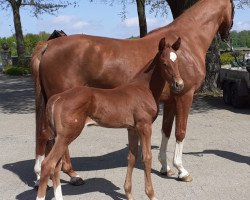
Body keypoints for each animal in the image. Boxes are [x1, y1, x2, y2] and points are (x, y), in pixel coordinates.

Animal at [36, 37, 183, 200]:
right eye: (164, 63)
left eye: (177, 61)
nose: (179, 84)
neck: (143, 88)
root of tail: (57, 98)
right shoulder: (145, 126)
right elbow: (147, 157)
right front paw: (151, 194)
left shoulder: (132, 129)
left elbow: (132, 157)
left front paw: (128, 193)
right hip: (66, 135)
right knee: (48, 164)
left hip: (58, 136)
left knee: (55, 167)